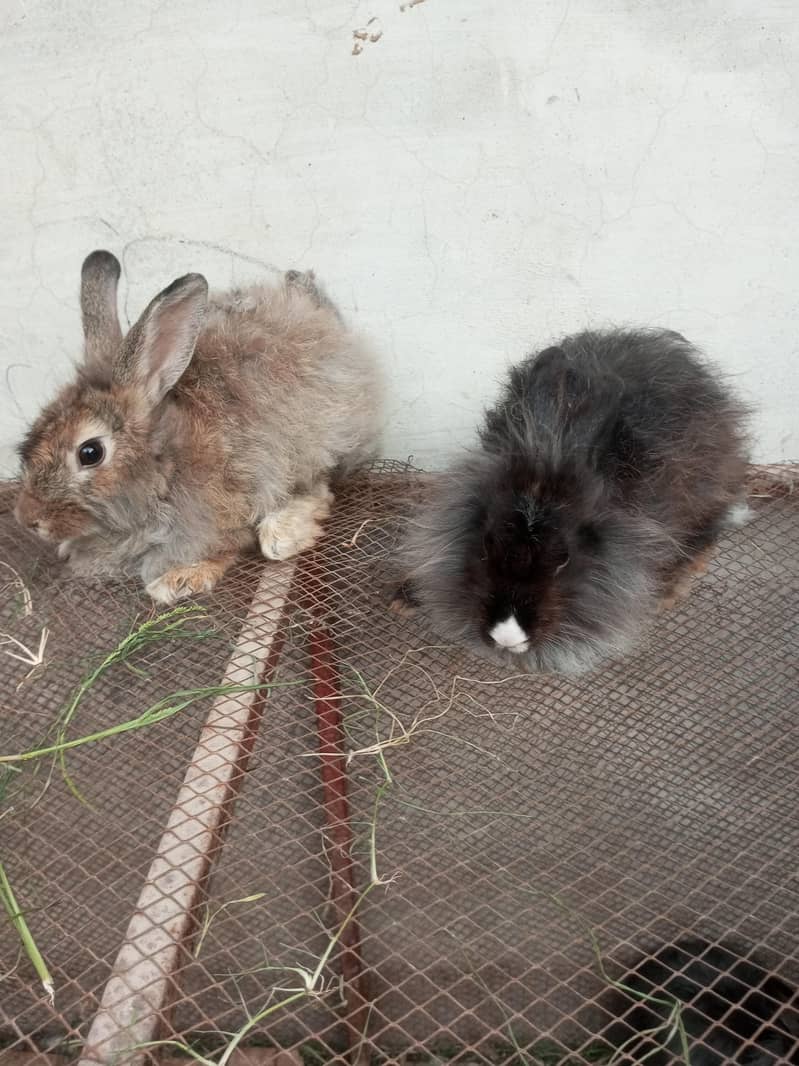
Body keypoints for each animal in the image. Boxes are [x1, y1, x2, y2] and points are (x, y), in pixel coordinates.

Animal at [15, 251, 383, 604]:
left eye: (90, 453)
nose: (27, 519)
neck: (166, 468)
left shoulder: (222, 517)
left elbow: (224, 549)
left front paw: (177, 581)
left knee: (317, 488)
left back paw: (282, 535)